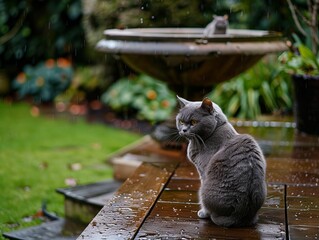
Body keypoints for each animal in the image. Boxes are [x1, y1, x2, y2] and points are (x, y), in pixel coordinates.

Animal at [178, 96, 268, 227]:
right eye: (180, 121)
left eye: (194, 122)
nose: (183, 130)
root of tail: (240, 213)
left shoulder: (203, 172)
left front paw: (203, 212)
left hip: (204, 190)